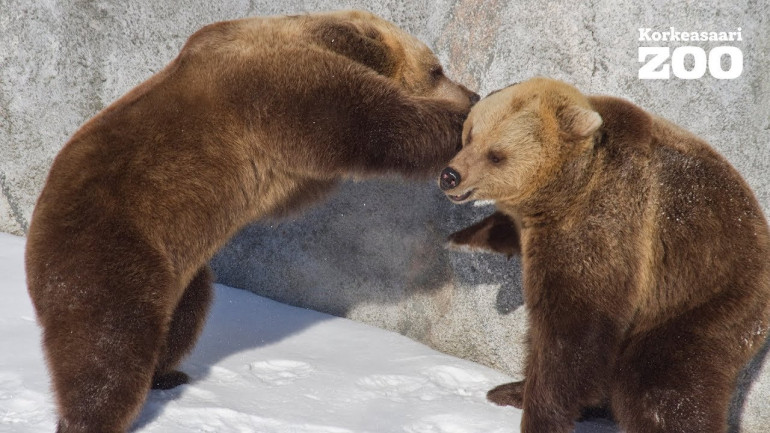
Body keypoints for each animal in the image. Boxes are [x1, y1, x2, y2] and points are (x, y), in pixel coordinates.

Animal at [25, 10, 478, 433]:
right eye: (437, 69)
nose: (471, 93)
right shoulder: (282, 88)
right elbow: (372, 122)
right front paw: (461, 125)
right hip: (111, 249)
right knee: (108, 346)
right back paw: (90, 418)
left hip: (177, 269)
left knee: (185, 312)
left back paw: (168, 374)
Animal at [438, 77, 770, 433]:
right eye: (470, 135)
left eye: (496, 155)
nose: (450, 175)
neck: (563, 188)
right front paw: (462, 238)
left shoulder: (607, 221)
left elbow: (575, 333)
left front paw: (542, 415)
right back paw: (511, 389)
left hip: (703, 293)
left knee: (660, 381)